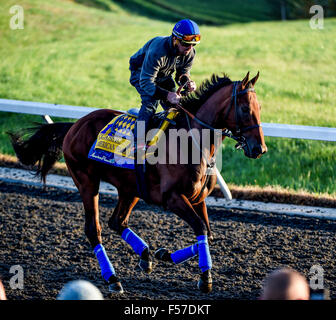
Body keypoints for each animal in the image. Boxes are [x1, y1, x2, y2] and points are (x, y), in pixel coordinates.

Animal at [9, 71, 268, 294]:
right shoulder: (172, 198)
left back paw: (145, 255)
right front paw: (205, 278)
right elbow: (200, 228)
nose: (260, 149)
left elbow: (207, 233)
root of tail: (74, 125)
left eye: (260, 108)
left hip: (130, 188)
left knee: (117, 221)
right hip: (87, 182)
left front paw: (164, 254)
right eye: (245, 108)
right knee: (94, 229)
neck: (192, 142)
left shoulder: (198, 198)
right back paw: (112, 278)